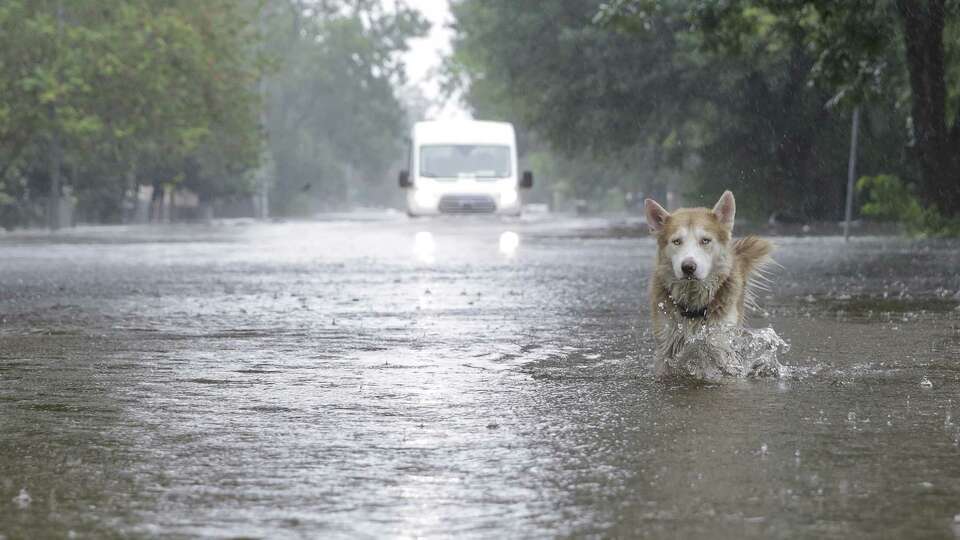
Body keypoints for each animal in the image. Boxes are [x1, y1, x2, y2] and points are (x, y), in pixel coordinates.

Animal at [644, 192, 772, 382]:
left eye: (705, 240)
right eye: (677, 241)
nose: (688, 267)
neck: (693, 307)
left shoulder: (720, 343)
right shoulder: (666, 345)